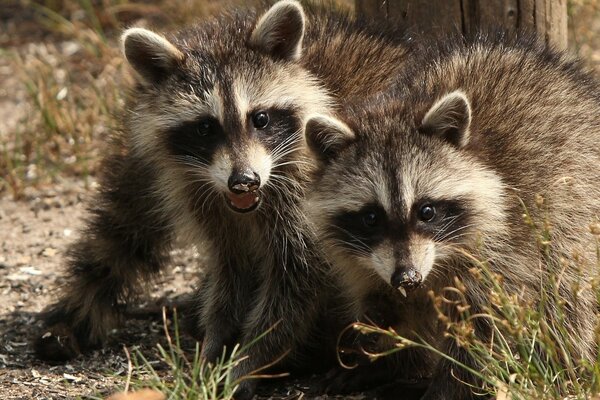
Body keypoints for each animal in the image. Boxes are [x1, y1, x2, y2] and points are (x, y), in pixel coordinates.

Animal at [34, 0, 412, 396]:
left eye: (260, 119)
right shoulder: (203, 199)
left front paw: (249, 360)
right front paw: (216, 345)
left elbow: (295, 286)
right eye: (205, 128)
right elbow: (231, 275)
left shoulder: (308, 199)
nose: (243, 181)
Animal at [304, 34, 600, 400]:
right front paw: (377, 358)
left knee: (568, 297)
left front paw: (449, 385)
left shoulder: (506, 248)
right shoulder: (367, 261)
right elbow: (382, 303)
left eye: (426, 211)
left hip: (575, 215)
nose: (407, 277)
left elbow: (485, 327)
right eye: (371, 217)